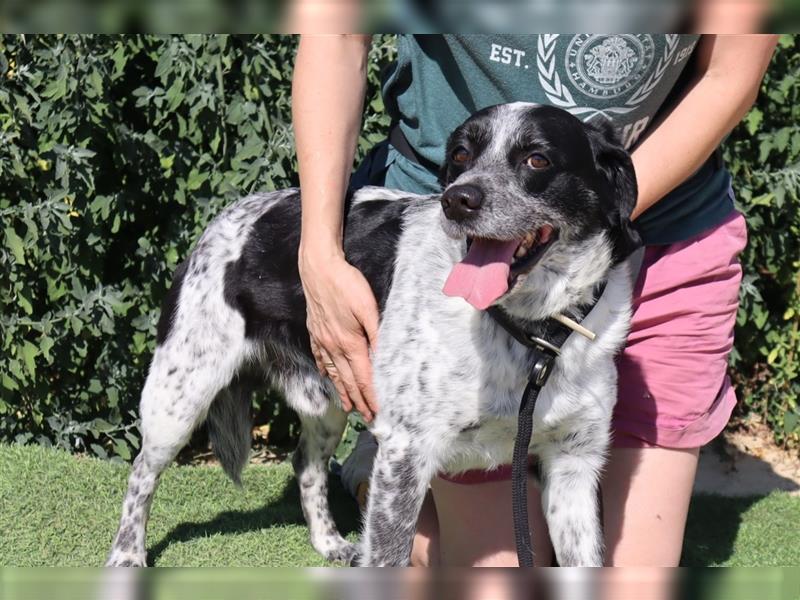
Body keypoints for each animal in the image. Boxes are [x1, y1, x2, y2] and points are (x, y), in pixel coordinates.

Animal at [106, 103, 640, 568]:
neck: (529, 332)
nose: (457, 200)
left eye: (537, 159)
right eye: (460, 155)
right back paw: (126, 554)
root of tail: (225, 217)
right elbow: (387, 560)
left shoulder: (574, 464)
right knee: (140, 472)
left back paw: (328, 543)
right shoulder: (405, 453)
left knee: (305, 464)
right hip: (180, 396)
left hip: (329, 400)